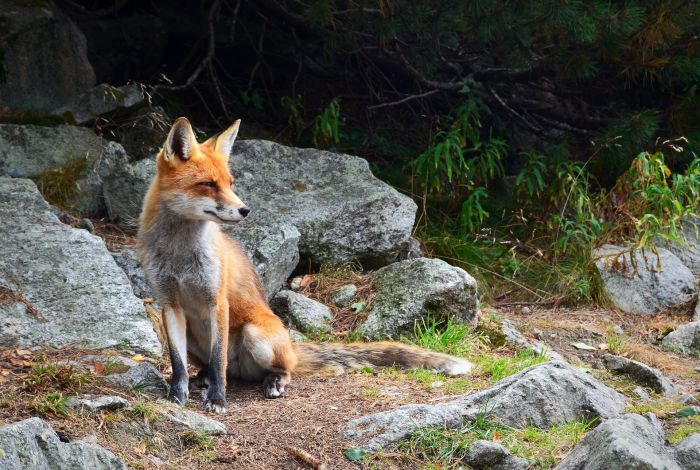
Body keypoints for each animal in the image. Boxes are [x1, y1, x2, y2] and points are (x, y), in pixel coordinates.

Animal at [137, 117, 476, 414]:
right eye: (208, 184)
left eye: (231, 183)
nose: (245, 210)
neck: (179, 255)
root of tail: (289, 345)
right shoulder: (169, 304)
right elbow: (178, 365)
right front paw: (176, 397)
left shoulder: (216, 301)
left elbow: (218, 359)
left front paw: (218, 401)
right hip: (194, 339)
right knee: (216, 368)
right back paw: (204, 379)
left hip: (255, 336)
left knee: (271, 370)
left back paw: (272, 382)